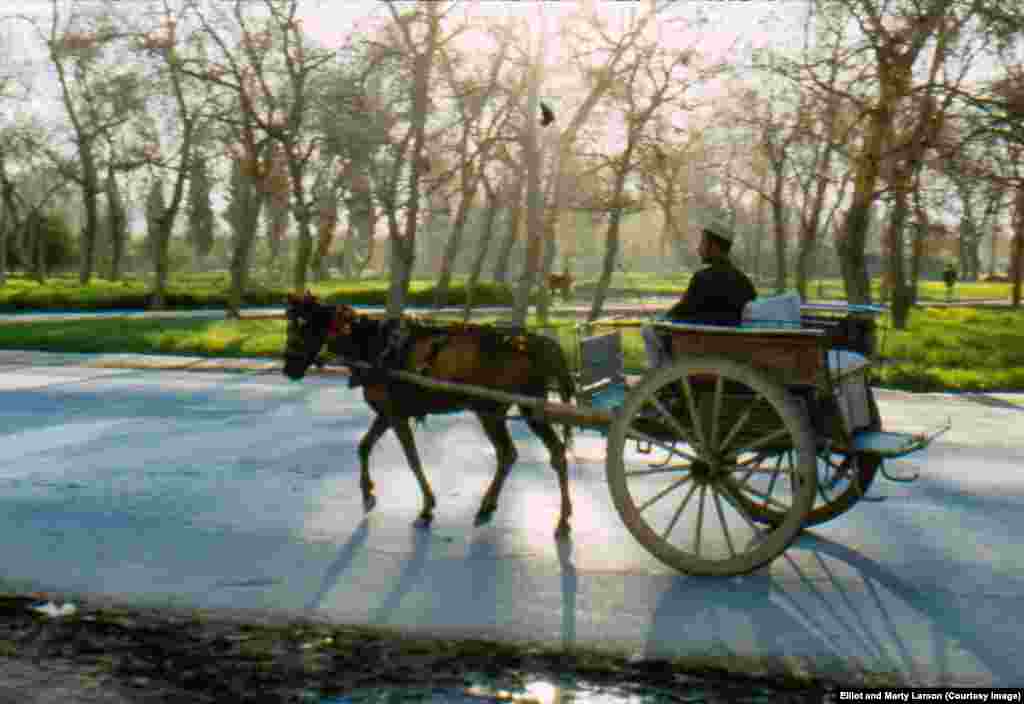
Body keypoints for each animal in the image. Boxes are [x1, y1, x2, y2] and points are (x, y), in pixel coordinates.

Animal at [282, 290, 577, 540]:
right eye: (289, 324)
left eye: (303, 326)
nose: (288, 368)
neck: (372, 347)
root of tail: (533, 342)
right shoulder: (387, 413)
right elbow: (364, 446)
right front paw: (367, 491)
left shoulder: (397, 416)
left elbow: (412, 459)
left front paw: (426, 507)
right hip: (512, 409)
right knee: (528, 454)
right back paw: (501, 507)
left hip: (500, 411)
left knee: (531, 453)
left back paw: (558, 519)